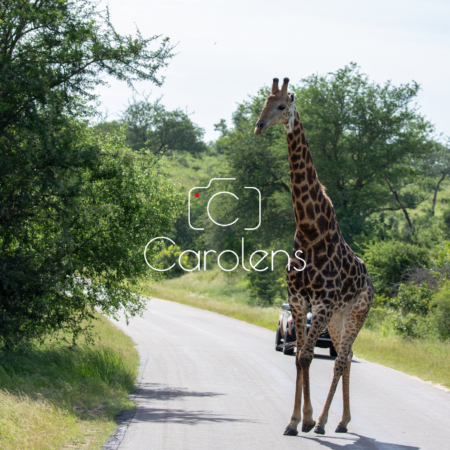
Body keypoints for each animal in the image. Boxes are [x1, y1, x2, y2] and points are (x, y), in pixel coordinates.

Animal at [255, 78, 374, 436]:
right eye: (264, 103)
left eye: (282, 106)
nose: (259, 126)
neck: (310, 230)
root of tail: (370, 281)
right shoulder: (298, 301)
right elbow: (299, 356)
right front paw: (296, 420)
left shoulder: (320, 304)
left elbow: (307, 356)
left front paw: (305, 420)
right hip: (338, 318)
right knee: (346, 357)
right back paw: (341, 421)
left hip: (355, 313)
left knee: (341, 358)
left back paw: (325, 422)